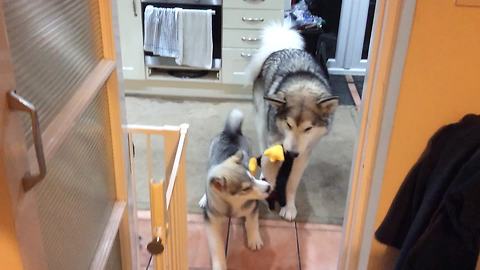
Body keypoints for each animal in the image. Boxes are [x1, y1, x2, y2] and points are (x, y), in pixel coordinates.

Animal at [199, 108, 272, 268]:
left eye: (252, 179)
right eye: (245, 189)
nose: (269, 188)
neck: (232, 205)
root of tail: (231, 132)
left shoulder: (252, 206)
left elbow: (252, 223)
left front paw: (254, 239)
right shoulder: (211, 221)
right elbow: (216, 245)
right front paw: (219, 265)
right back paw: (204, 198)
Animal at [246, 23, 340, 221]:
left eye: (308, 128)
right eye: (288, 124)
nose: (291, 153)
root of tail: (283, 48)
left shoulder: (304, 154)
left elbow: (291, 184)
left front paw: (289, 207)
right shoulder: (274, 143)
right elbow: (269, 167)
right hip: (262, 120)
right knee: (262, 144)